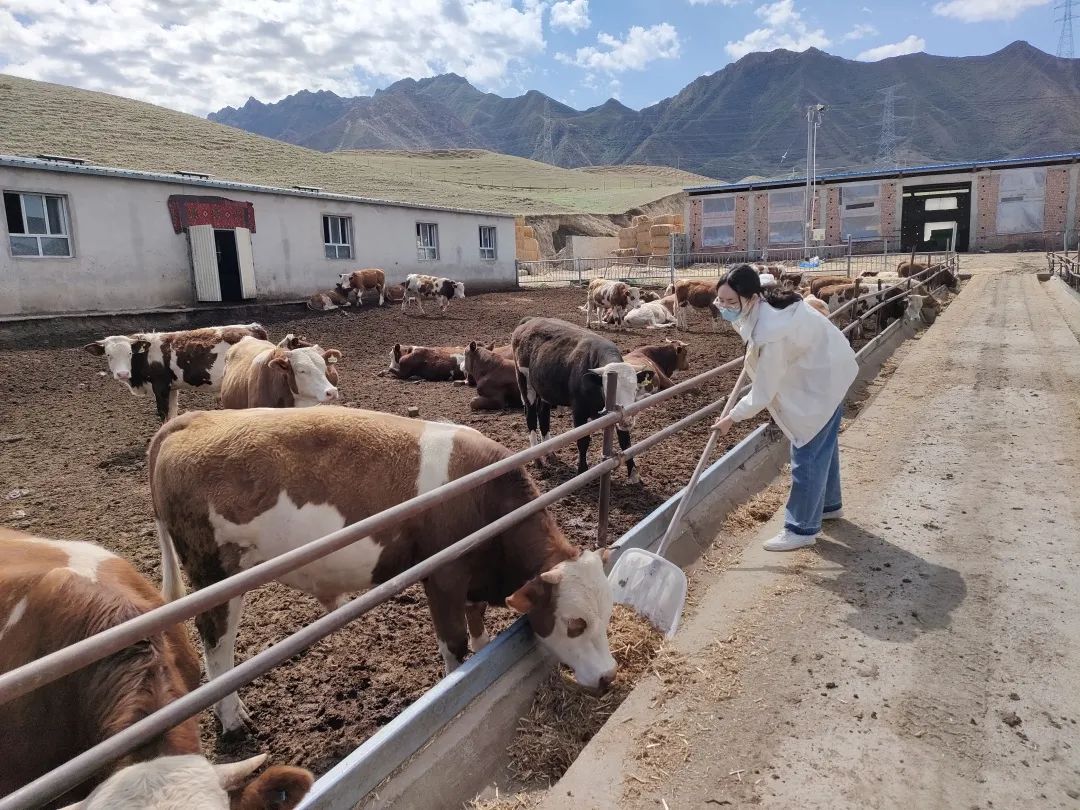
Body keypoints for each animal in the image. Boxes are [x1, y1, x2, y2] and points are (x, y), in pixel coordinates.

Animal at [146, 406, 617, 734]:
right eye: (574, 623)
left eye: (608, 616)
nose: (610, 676)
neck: (482, 497)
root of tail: (192, 420)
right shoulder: (443, 578)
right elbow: (454, 645)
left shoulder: (473, 582)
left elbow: (478, 629)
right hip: (213, 572)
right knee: (216, 643)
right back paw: (233, 718)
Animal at [511, 317, 652, 481]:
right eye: (608, 389)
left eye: (635, 389)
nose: (628, 420)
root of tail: (529, 320)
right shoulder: (579, 410)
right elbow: (583, 440)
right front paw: (582, 470)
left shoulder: (618, 416)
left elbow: (625, 441)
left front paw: (633, 474)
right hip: (525, 384)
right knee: (531, 416)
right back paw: (538, 459)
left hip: (545, 389)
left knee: (543, 415)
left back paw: (550, 454)